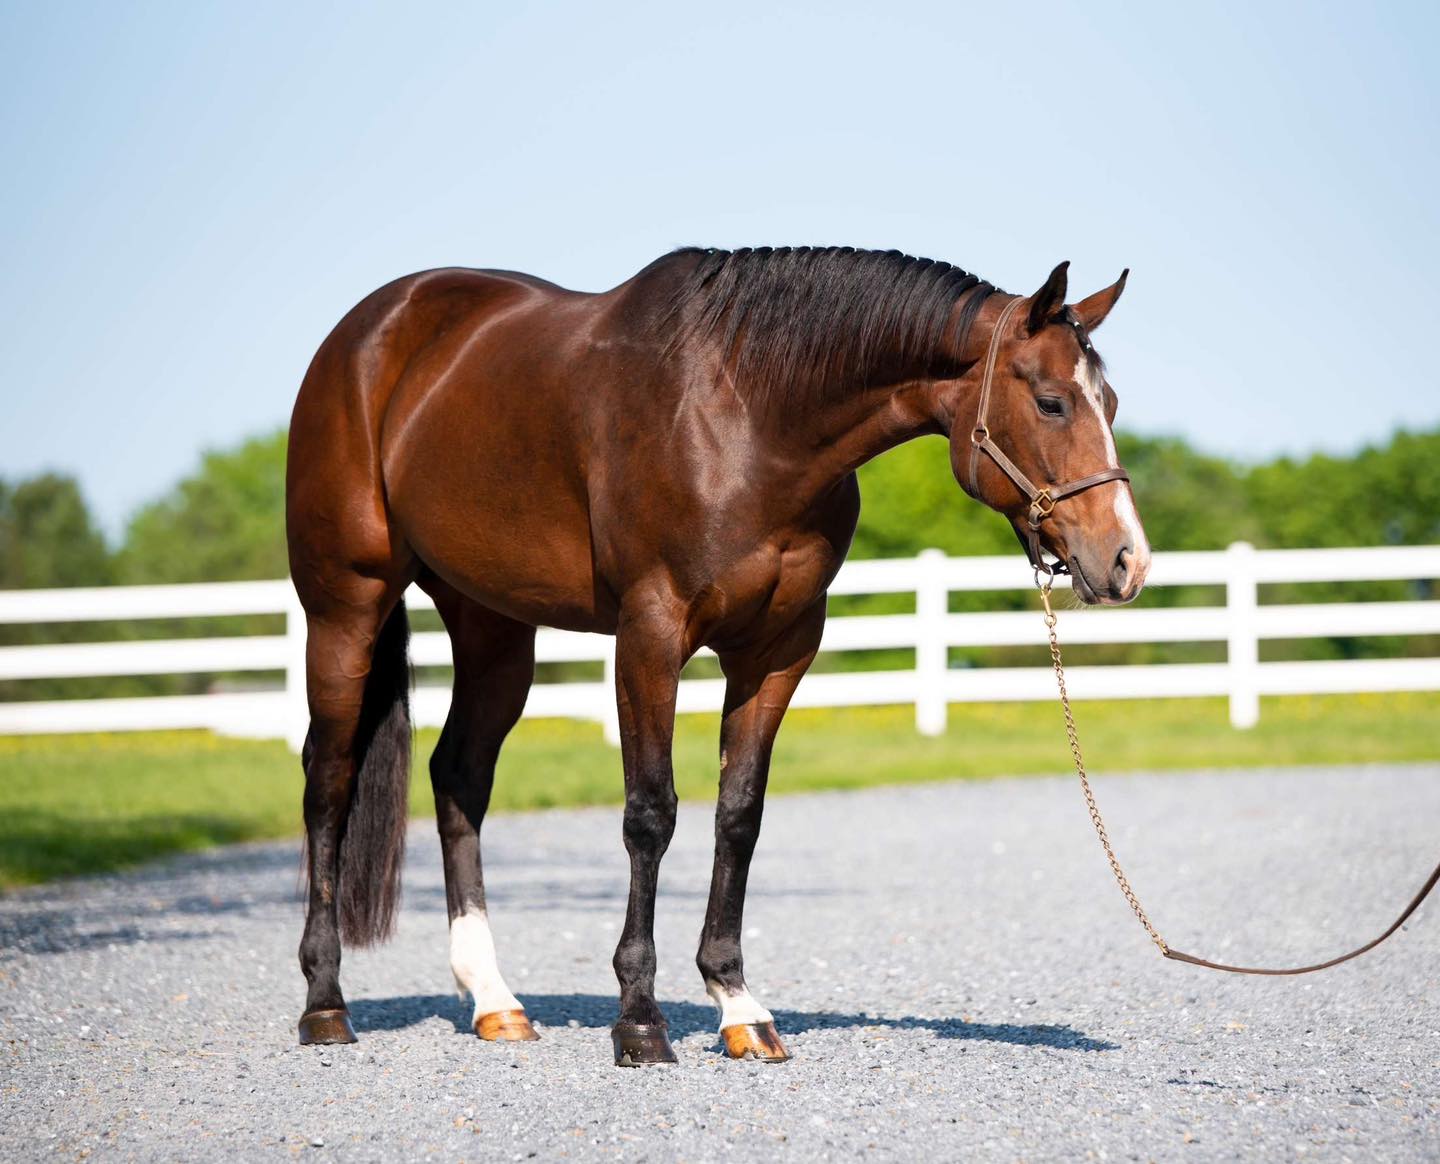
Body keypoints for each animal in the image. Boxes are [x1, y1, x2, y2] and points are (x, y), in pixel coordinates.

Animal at [284, 246, 1151, 1066]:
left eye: (1109, 403)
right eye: (1051, 401)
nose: (1126, 561)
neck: (749, 418)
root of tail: (370, 331)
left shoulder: (778, 650)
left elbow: (739, 815)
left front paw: (739, 1007)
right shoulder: (650, 635)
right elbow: (650, 814)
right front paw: (639, 1021)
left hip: (492, 627)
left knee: (459, 778)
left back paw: (494, 1000)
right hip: (346, 607)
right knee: (328, 782)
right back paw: (325, 1003)